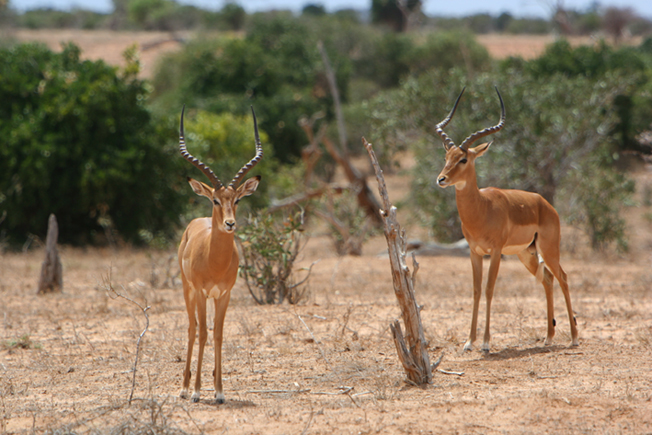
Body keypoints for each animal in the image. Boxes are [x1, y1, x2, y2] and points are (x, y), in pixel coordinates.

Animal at [178, 106, 262, 403]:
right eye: (215, 199)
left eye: (236, 200)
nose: (230, 223)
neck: (214, 261)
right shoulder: (203, 293)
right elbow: (203, 334)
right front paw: (197, 391)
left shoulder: (224, 294)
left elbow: (219, 335)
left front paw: (219, 391)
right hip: (188, 290)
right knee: (192, 330)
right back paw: (184, 388)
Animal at [435, 87, 579, 352]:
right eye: (446, 156)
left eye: (463, 159)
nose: (441, 179)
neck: (482, 208)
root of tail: (546, 204)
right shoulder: (474, 252)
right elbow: (476, 290)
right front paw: (468, 342)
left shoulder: (495, 251)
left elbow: (489, 289)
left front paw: (485, 343)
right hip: (526, 253)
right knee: (547, 279)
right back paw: (548, 337)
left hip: (549, 249)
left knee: (563, 277)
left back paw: (573, 338)